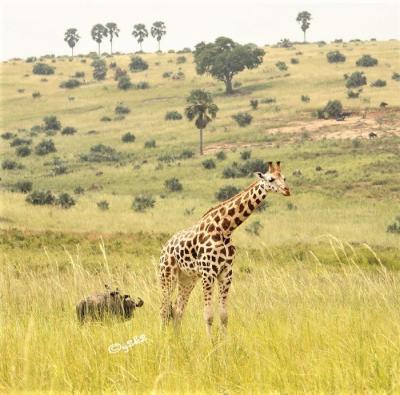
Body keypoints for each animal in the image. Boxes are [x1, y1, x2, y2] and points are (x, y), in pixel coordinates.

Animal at [159, 162, 290, 336]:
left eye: (284, 177)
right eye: (271, 179)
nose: (287, 190)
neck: (225, 229)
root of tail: (164, 248)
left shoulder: (226, 273)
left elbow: (224, 315)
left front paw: (224, 340)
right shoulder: (208, 273)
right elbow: (208, 315)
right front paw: (210, 341)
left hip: (188, 278)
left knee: (177, 309)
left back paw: (177, 339)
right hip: (167, 275)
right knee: (163, 309)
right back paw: (164, 338)